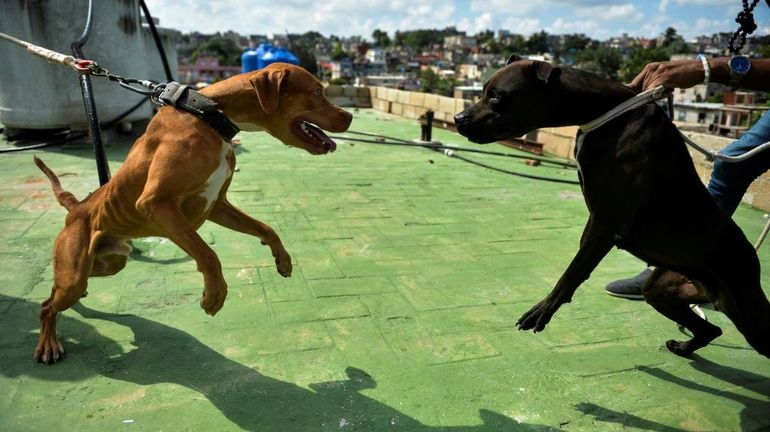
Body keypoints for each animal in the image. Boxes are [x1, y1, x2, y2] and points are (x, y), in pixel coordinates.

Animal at [33, 62, 352, 362]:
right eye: (317, 92)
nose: (349, 117)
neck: (209, 116)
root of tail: (76, 208)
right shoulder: (156, 203)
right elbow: (208, 254)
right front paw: (214, 294)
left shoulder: (218, 205)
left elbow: (265, 228)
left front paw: (282, 259)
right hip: (75, 274)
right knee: (47, 307)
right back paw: (48, 343)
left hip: (107, 264)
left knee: (58, 293)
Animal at [452, 55, 768, 360]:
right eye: (483, 91)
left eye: (497, 96)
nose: (457, 118)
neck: (604, 114)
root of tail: (751, 257)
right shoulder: (597, 220)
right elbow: (579, 262)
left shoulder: (607, 224)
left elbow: (572, 270)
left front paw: (543, 309)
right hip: (661, 291)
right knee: (711, 329)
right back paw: (684, 347)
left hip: (745, 311)